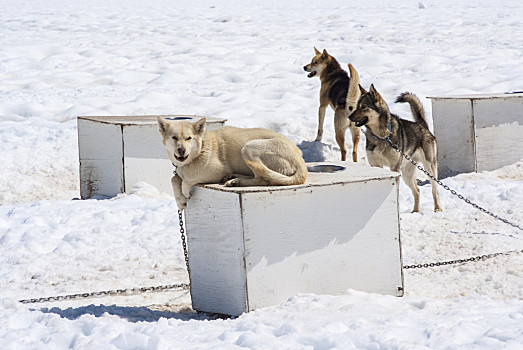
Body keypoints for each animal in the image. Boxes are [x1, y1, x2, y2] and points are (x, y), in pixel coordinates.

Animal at [158, 117, 310, 211]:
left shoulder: (215, 171)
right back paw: (233, 179)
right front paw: (180, 201)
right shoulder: (181, 170)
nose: (181, 150)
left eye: (189, 138)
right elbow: (174, 178)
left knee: (264, 179)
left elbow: (185, 180)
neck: (201, 148)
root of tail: (300, 159)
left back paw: (236, 181)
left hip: (248, 147)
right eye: (174, 137)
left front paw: (184, 192)